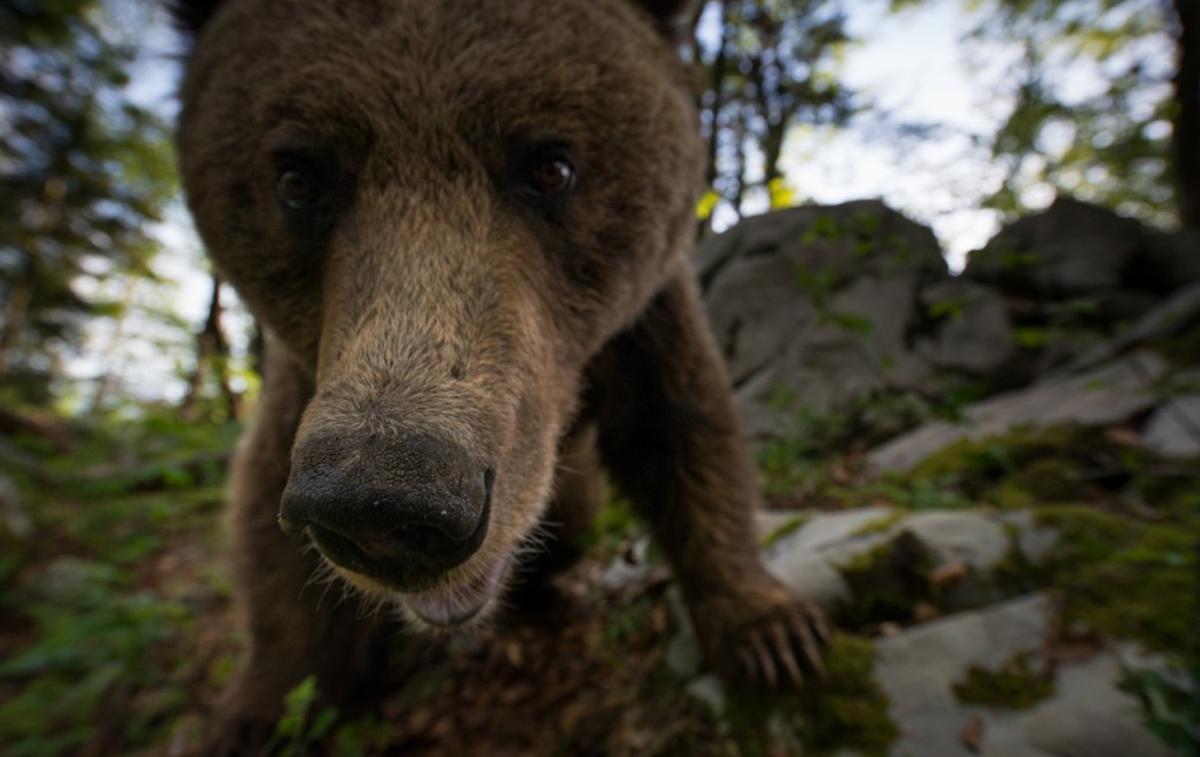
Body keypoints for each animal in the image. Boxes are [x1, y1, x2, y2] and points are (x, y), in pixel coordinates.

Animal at [174, 0, 830, 748]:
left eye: (552, 166)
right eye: (296, 179)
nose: (385, 505)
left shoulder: (642, 323)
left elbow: (686, 433)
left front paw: (773, 632)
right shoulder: (301, 381)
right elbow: (266, 530)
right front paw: (258, 710)